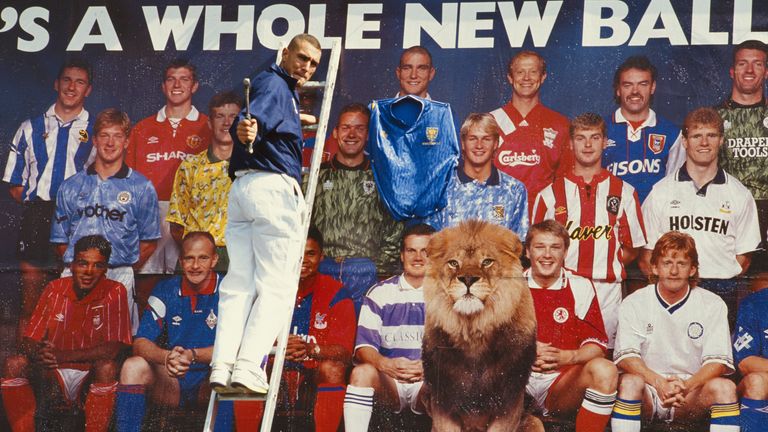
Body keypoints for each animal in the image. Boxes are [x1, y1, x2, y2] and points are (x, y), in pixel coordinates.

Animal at [420, 221, 540, 430]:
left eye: (486, 262)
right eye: (454, 263)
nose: (468, 279)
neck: (473, 331)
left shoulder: (510, 402)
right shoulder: (442, 401)